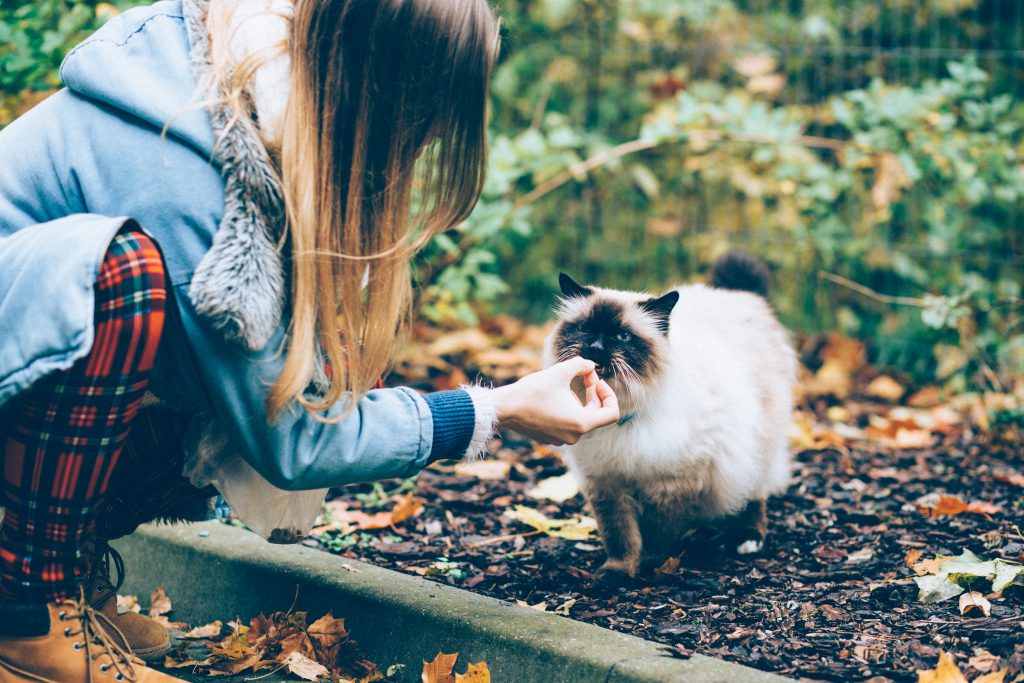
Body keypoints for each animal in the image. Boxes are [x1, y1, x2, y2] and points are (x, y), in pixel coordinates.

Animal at [540, 253, 794, 585]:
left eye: (622, 336)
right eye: (584, 329)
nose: (594, 348)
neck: (623, 415)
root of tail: (738, 294)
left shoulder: (670, 483)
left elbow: (657, 535)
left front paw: (648, 567)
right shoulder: (607, 483)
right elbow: (620, 537)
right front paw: (618, 573)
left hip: (755, 448)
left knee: (754, 494)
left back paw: (747, 539)